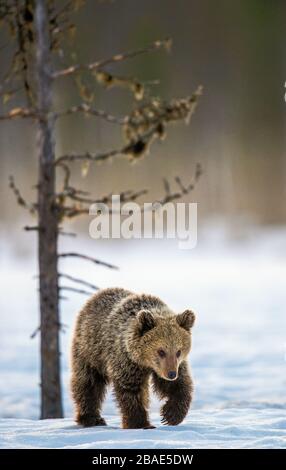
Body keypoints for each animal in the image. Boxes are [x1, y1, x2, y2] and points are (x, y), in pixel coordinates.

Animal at [70, 286, 196, 430]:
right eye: (161, 351)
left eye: (178, 351)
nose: (171, 374)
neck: (143, 361)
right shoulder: (126, 361)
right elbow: (131, 391)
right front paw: (139, 423)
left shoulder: (173, 366)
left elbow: (179, 385)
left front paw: (170, 415)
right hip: (90, 350)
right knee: (88, 383)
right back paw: (91, 418)